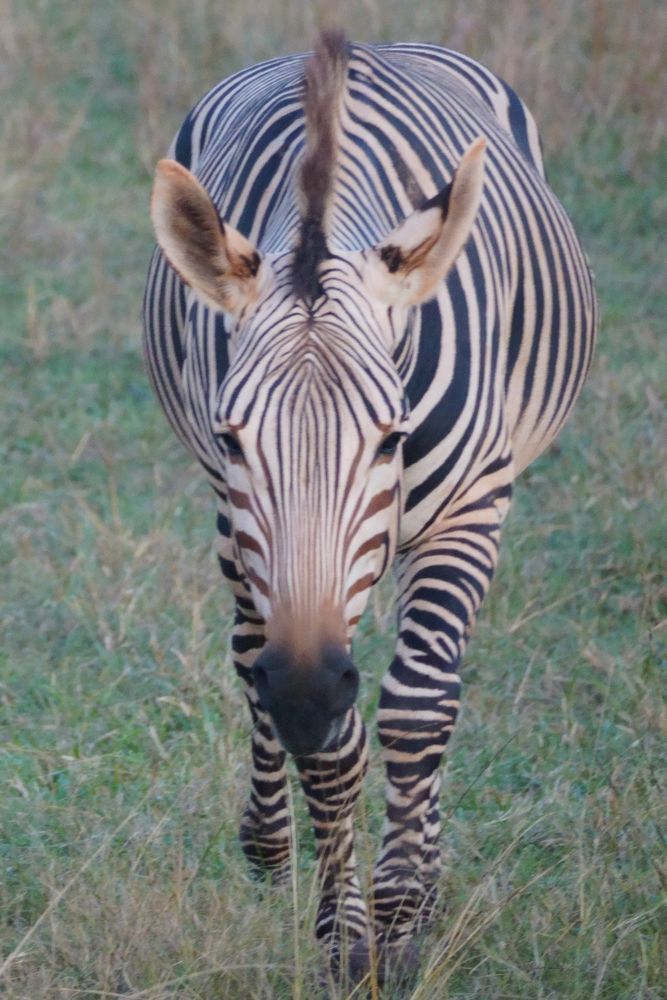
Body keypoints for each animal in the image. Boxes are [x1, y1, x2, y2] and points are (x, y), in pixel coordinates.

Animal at [143, 30, 597, 983]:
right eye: (234, 439)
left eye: (390, 437)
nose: (309, 687)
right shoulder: (252, 531)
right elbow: (330, 742)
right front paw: (345, 936)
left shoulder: (471, 506)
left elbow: (418, 708)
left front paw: (401, 917)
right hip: (235, 539)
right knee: (248, 657)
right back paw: (269, 846)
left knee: (431, 689)